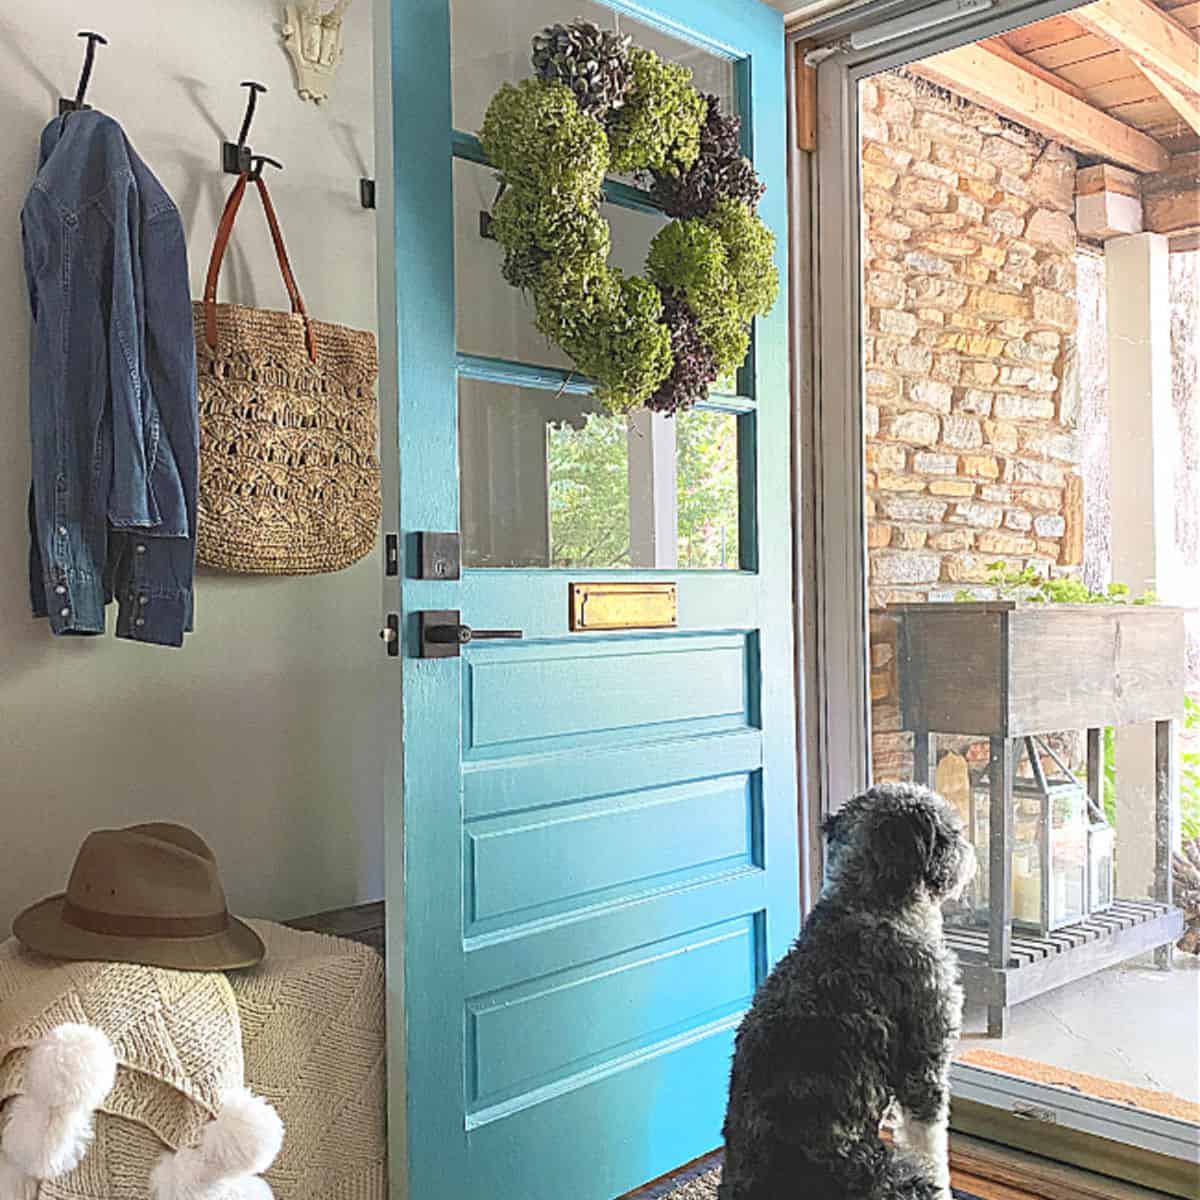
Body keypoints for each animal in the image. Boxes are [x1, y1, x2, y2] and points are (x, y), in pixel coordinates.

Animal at [715, 782, 969, 1200]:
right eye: (952, 832)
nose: (969, 853)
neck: (868, 903)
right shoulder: (925, 1063)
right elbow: (932, 1147)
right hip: (896, 1176)